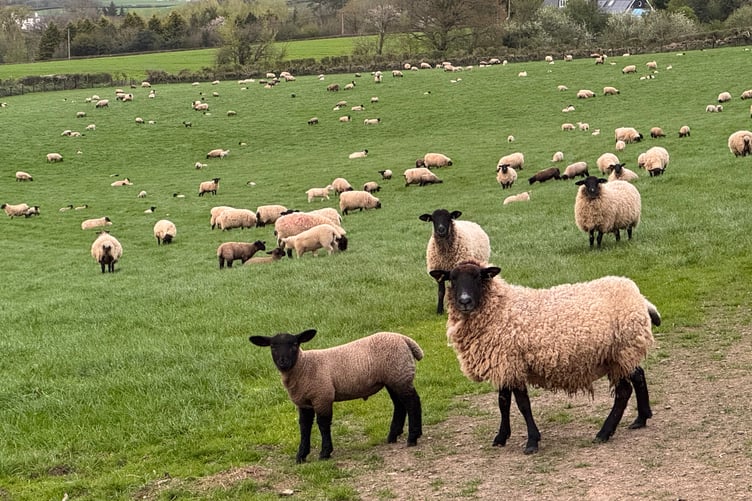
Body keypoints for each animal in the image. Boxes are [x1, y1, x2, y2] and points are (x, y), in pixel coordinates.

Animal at [249, 329, 423, 463]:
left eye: (294, 345)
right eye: (273, 346)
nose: (283, 362)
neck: (304, 366)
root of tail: (404, 339)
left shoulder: (322, 396)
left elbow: (323, 424)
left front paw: (325, 453)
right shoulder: (304, 402)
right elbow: (304, 427)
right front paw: (301, 456)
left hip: (400, 374)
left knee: (413, 402)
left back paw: (413, 437)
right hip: (393, 378)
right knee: (400, 405)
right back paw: (393, 435)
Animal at [428, 260, 659, 454]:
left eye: (478, 277)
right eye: (452, 279)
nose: (464, 301)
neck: (498, 308)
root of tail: (639, 297)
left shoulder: (513, 363)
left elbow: (523, 404)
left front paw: (532, 442)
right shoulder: (505, 363)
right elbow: (503, 402)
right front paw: (501, 437)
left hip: (622, 351)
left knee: (624, 391)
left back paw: (604, 432)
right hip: (622, 355)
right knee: (638, 376)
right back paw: (641, 418)